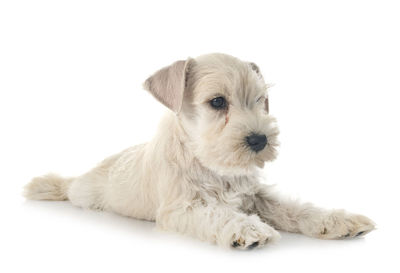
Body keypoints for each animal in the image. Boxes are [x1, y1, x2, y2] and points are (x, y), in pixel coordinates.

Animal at [25, 52, 376, 249]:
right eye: (218, 102)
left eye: (259, 100)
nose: (260, 140)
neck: (211, 163)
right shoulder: (182, 207)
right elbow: (217, 213)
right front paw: (246, 227)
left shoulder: (256, 196)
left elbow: (295, 208)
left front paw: (337, 220)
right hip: (83, 193)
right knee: (69, 189)